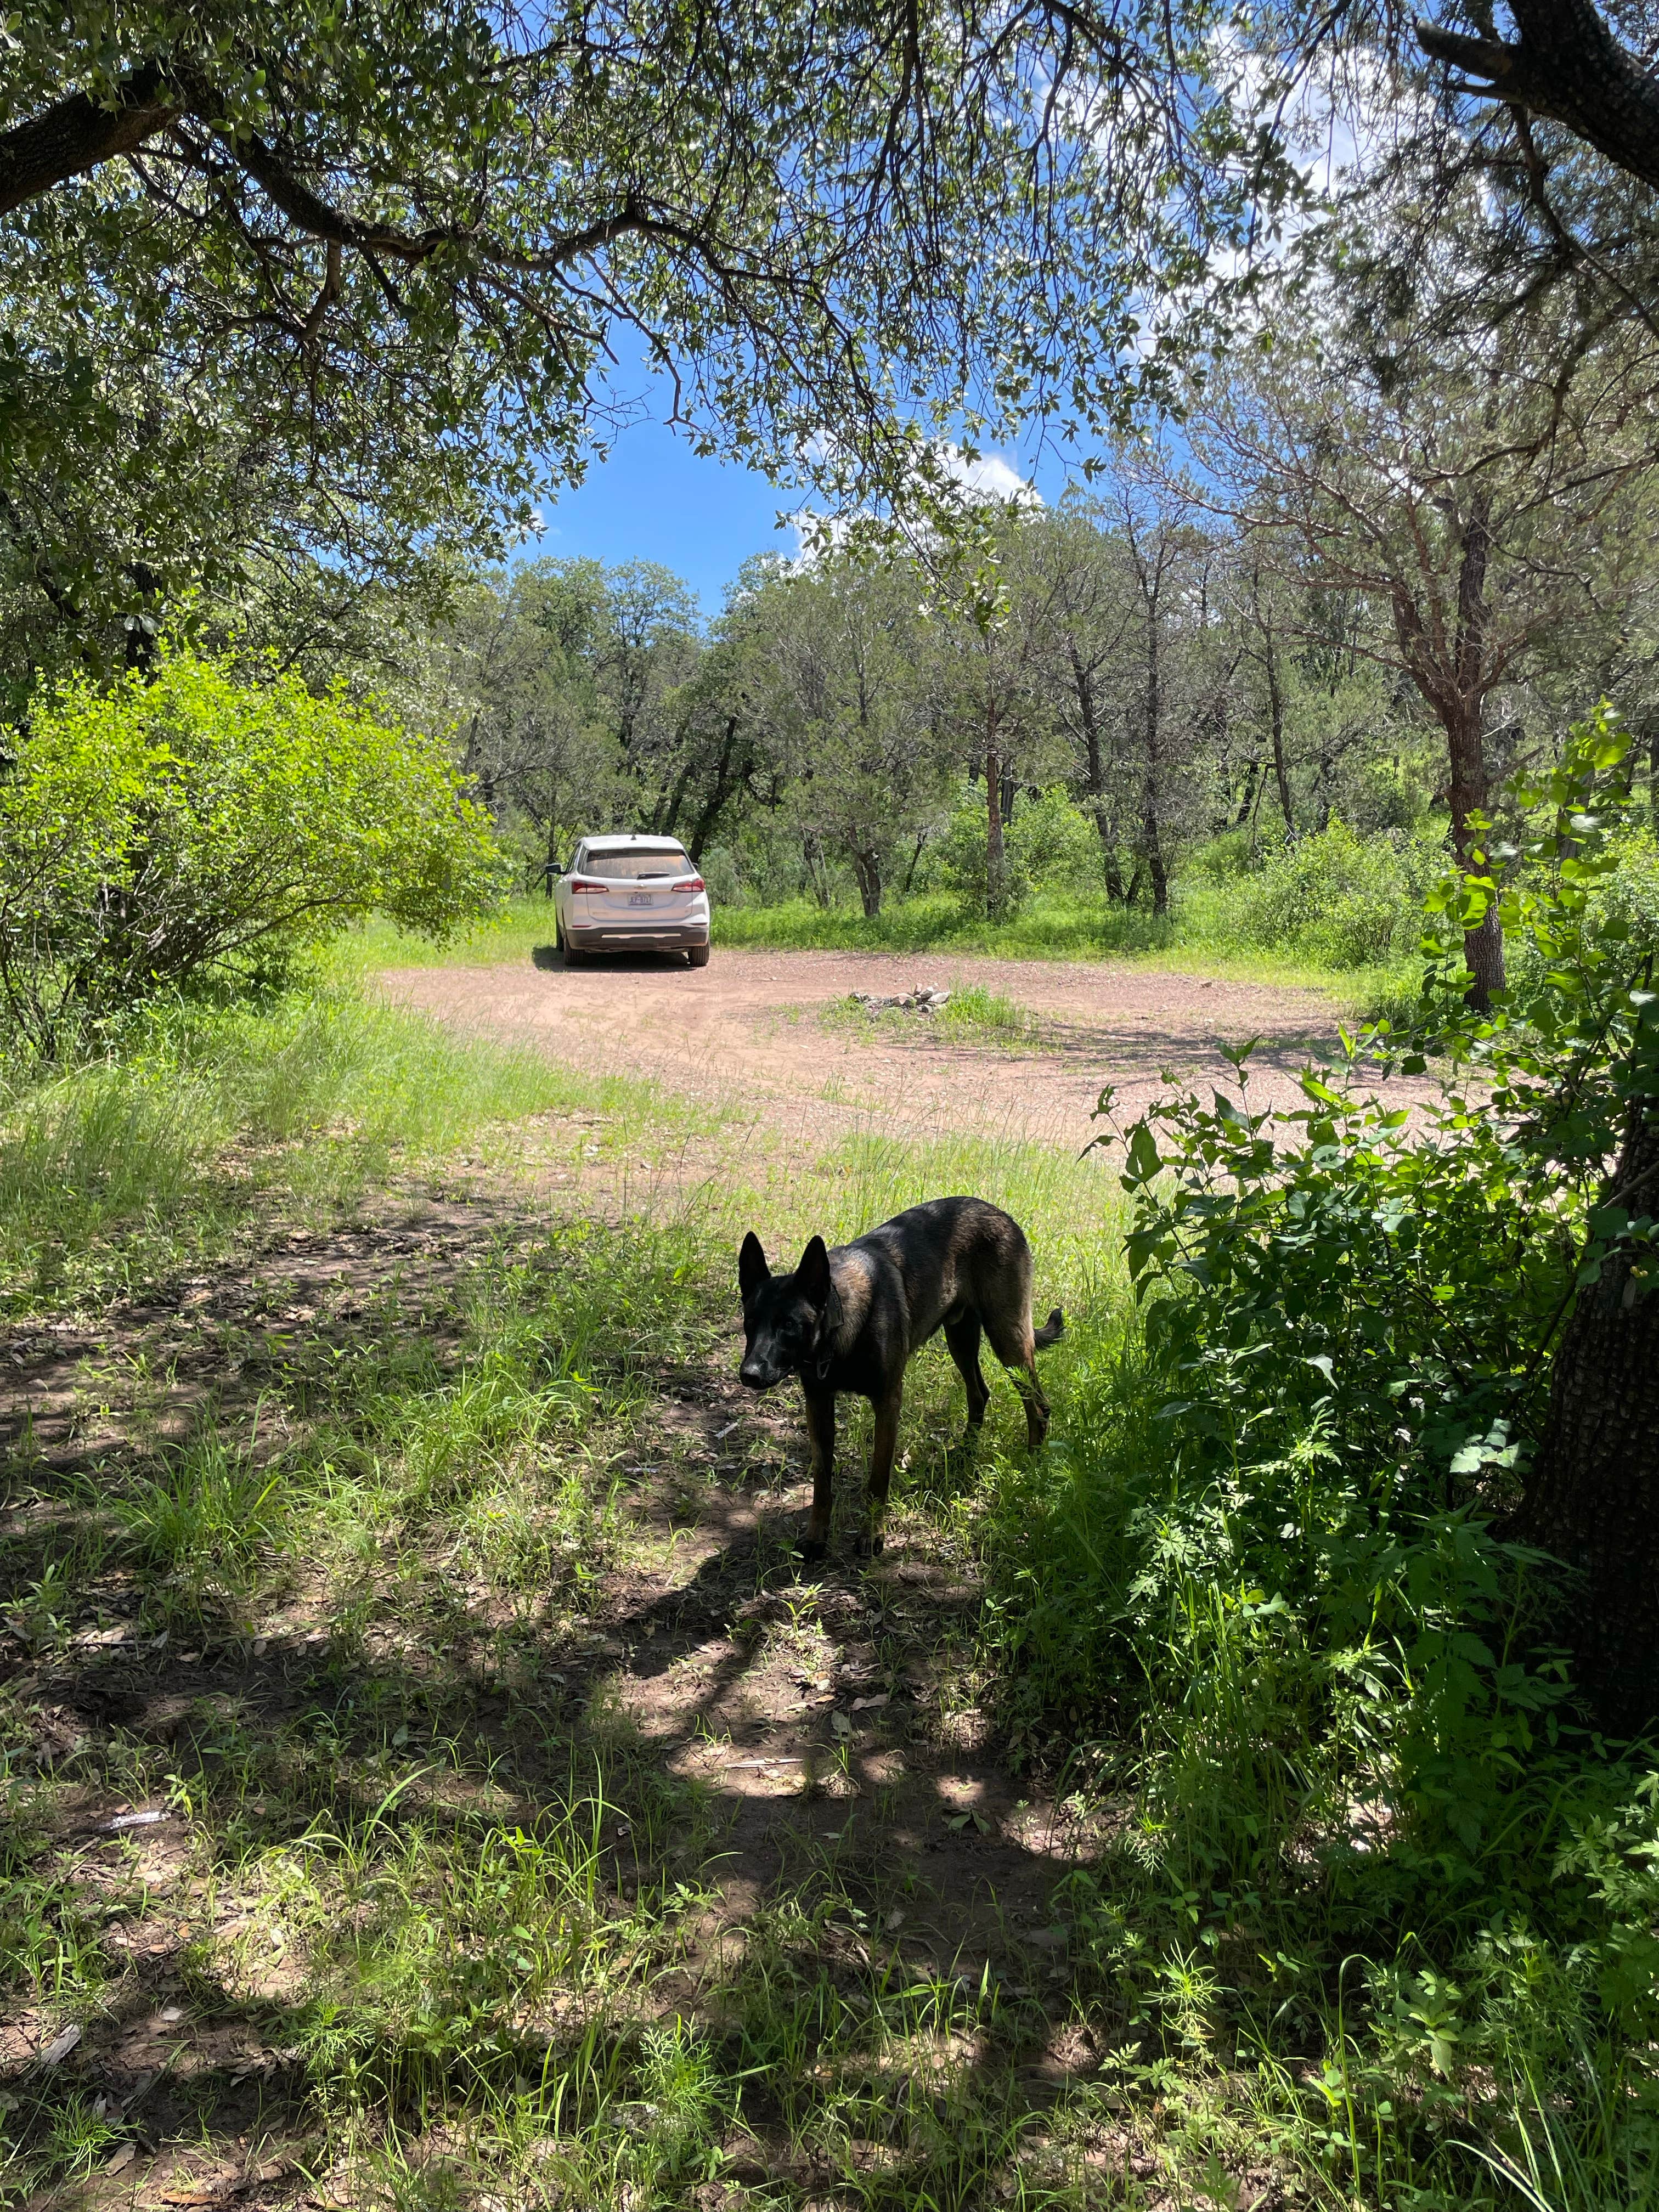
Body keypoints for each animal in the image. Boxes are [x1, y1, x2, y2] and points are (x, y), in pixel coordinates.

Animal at [738, 1194, 1066, 1557]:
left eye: (789, 1325)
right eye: (750, 1322)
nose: (749, 1375)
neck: (840, 1327)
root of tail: (999, 1213)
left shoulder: (887, 1402)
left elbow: (878, 1478)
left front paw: (872, 1534)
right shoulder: (819, 1405)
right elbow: (822, 1482)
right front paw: (816, 1535)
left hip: (1007, 1339)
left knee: (1038, 1405)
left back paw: (1032, 1464)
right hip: (961, 1338)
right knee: (979, 1392)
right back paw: (966, 1453)